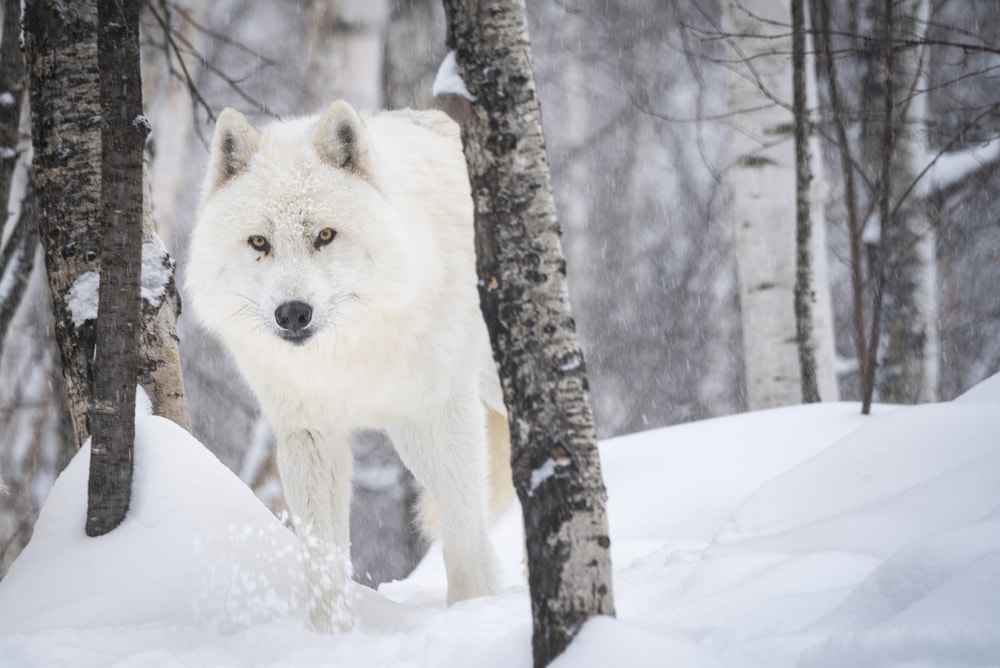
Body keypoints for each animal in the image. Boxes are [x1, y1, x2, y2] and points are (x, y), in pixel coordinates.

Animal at [185, 101, 513, 632]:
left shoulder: (443, 412)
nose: (293, 313)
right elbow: (323, 559)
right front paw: (331, 636)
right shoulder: (310, 435)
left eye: (324, 236)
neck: (346, 357)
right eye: (259, 242)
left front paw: (474, 613)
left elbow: (464, 534)